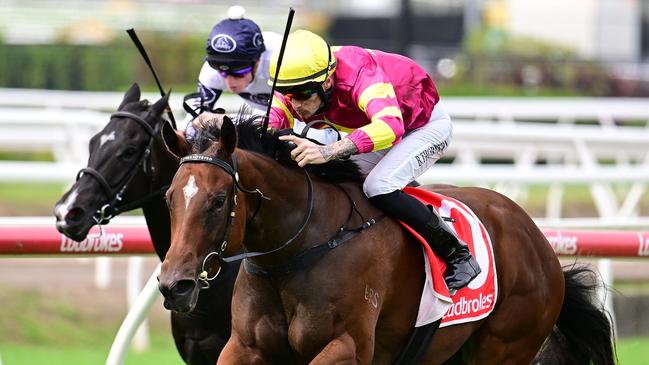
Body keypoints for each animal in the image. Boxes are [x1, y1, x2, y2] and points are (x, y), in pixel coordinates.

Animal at [157, 114, 616, 364]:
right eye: (169, 196)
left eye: (218, 201)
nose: (174, 285)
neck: (301, 246)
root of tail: (538, 240)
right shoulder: (243, 347)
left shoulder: (348, 346)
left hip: (505, 345)